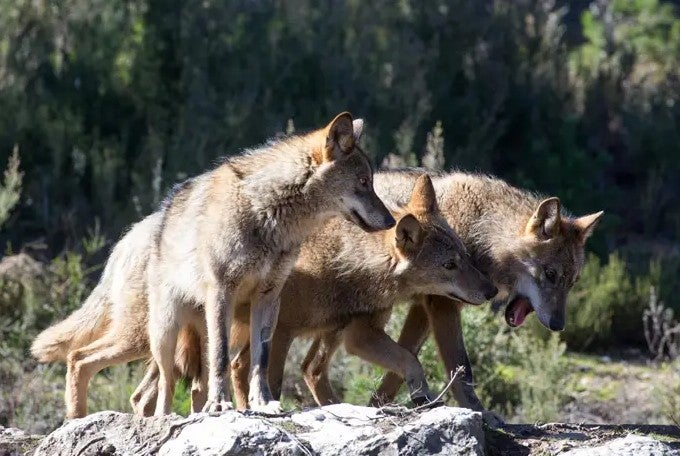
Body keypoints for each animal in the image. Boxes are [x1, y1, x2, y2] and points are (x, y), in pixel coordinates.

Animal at [31, 112, 395, 418]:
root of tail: (126, 239)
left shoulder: (269, 298)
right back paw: (94, 420)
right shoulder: (223, 291)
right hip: (155, 335)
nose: (392, 221)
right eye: (363, 182)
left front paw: (263, 403)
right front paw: (220, 405)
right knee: (90, 362)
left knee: (168, 387)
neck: (268, 214)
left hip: (182, 335)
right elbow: (222, 359)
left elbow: (260, 361)